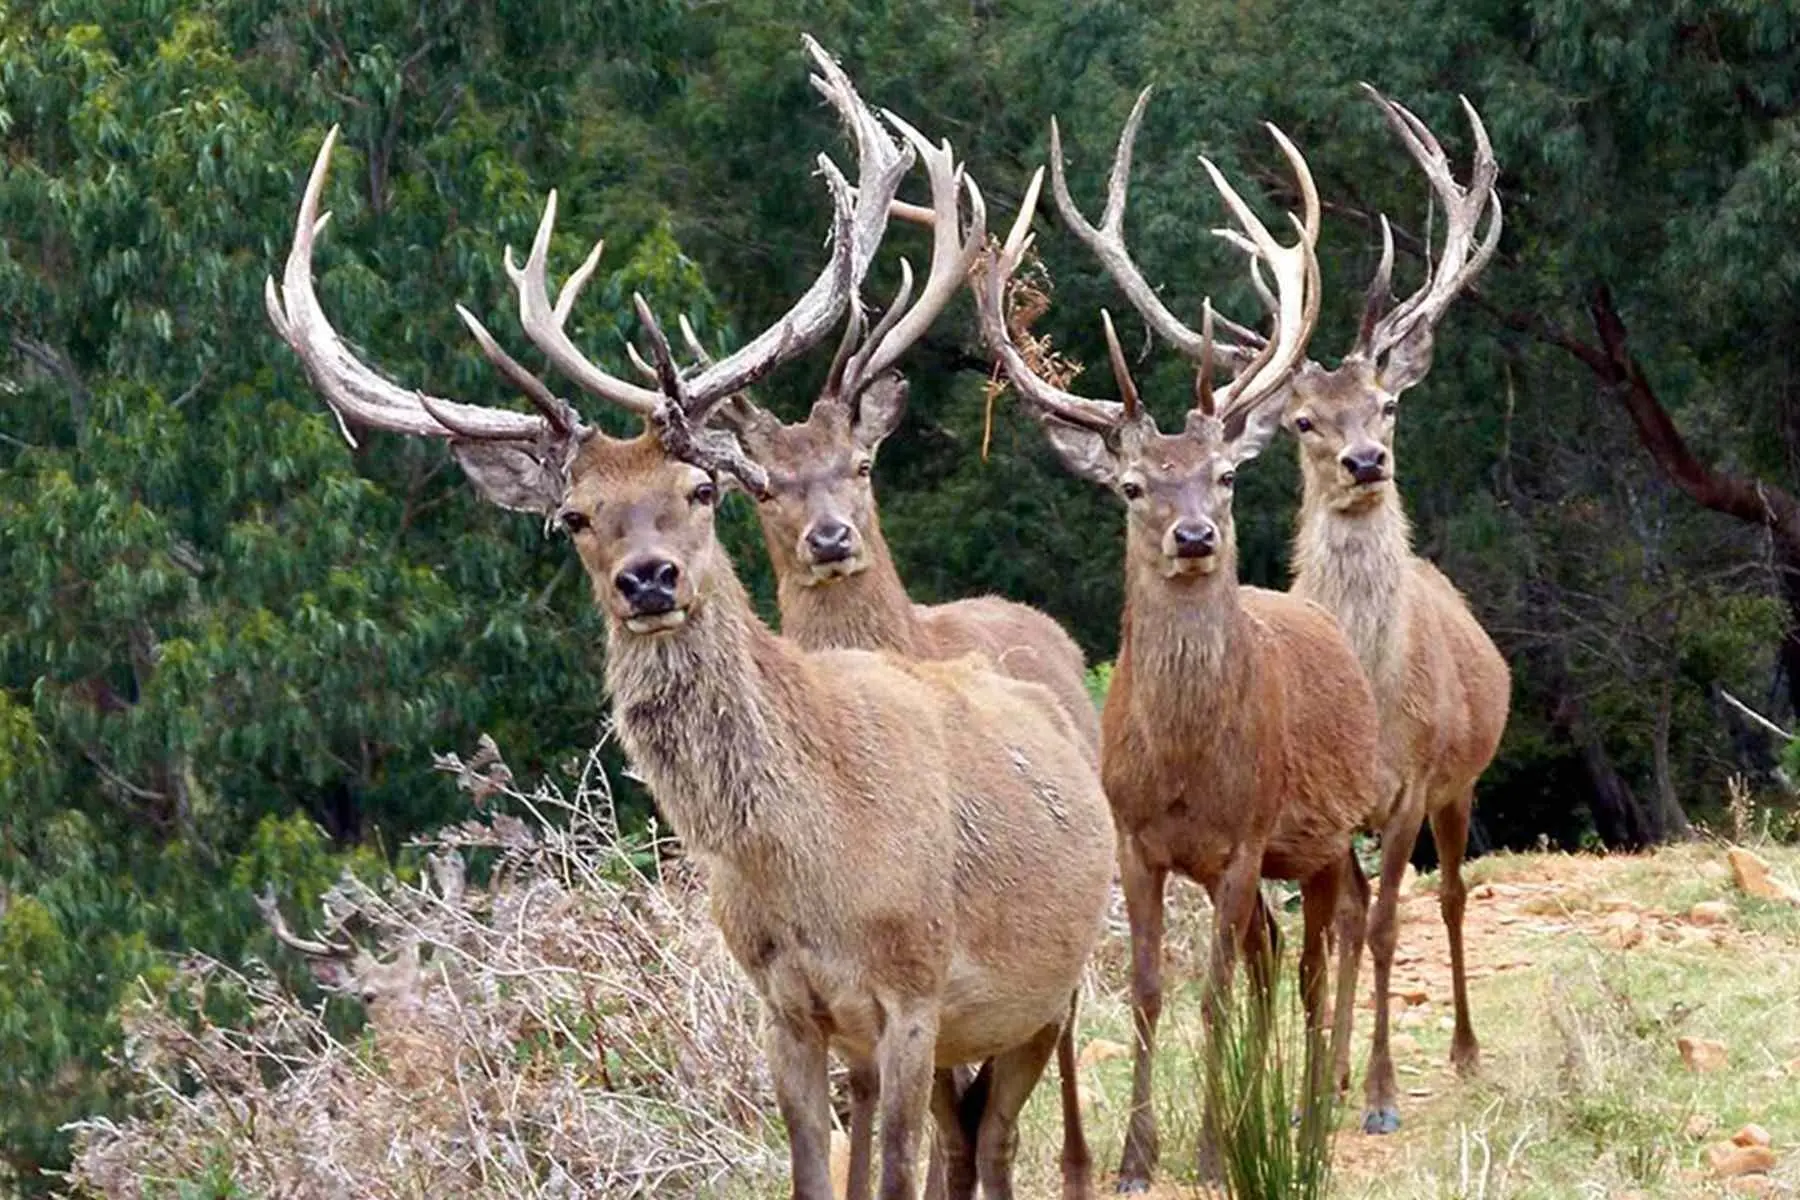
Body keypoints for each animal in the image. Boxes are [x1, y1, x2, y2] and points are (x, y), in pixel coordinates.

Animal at [264, 40, 1117, 1200]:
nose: (651, 580)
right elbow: (816, 1172)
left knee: (997, 1136)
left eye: (702, 488)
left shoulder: (914, 987)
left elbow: (896, 1169)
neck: (811, 862)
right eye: (574, 517)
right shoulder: (786, 1007)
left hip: (1046, 988)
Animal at [979, 93, 1380, 1191]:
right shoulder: (1134, 840)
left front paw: (1209, 1149)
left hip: (1332, 829)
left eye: (1228, 476)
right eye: (1131, 486)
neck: (1192, 771)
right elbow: (1156, 986)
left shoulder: (1244, 838)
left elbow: (1211, 988)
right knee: (1281, 954)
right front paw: (1134, 1157)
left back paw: (1312, 1108)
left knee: (1329, 940)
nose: (1195, 535)